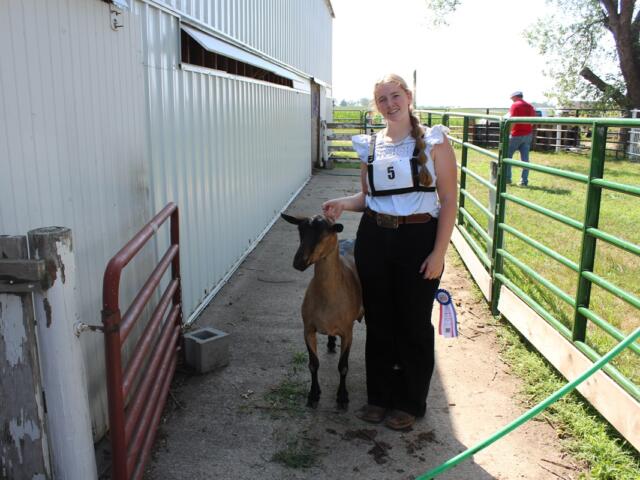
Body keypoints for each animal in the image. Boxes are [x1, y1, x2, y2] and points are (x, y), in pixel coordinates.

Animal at [281, 213, 364, 409]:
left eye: (324, 233)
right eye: (300, 230)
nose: (299, 262)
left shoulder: (347, 332)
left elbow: (343, 367)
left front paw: (342, 398)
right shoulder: (308, 329)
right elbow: (313, 364)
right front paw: (313, 395)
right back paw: (331, 343)